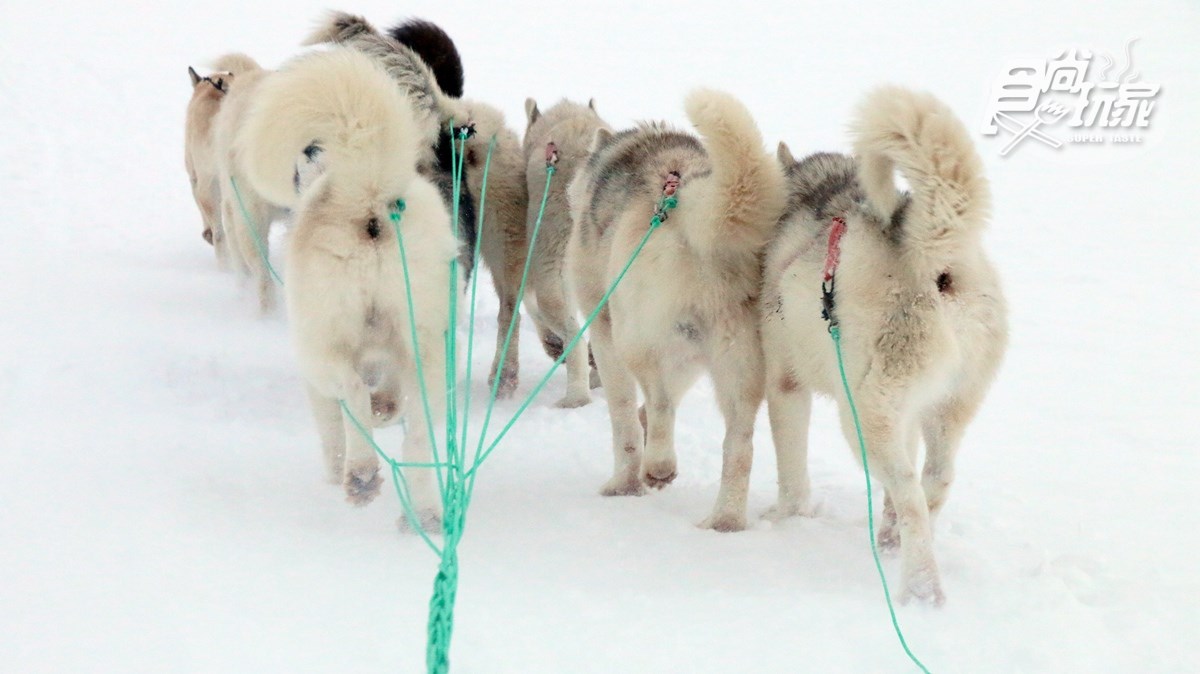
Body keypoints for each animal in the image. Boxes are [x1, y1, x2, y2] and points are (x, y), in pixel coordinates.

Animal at [236, 49, 456, 527]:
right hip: (427, 352)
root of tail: (368, 194)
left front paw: (337, 472)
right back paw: (424, 515)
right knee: (417, 438)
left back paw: (361, 475)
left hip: (321, 348)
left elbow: (333, 432)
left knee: (354, 396)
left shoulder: (317, 383)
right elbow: (387, 407)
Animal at [568, 90, 787, 530]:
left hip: (635, 339)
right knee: (739, 446)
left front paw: (623, 485)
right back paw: (725, 521)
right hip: (739, 366)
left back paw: (660, 465)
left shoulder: (605, 333)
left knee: (660, 403)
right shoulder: (690, 355)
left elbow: (624, 419)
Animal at [763, 86, 1008, 599]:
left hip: (861, 418)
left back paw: (921, 587)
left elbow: (791, 475)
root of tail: (935, 260)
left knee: (909, 493)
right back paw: (894, 540)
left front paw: (785, 521)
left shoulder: (785, 386)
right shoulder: (914, 412)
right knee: (933, 482)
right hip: (945, 408)